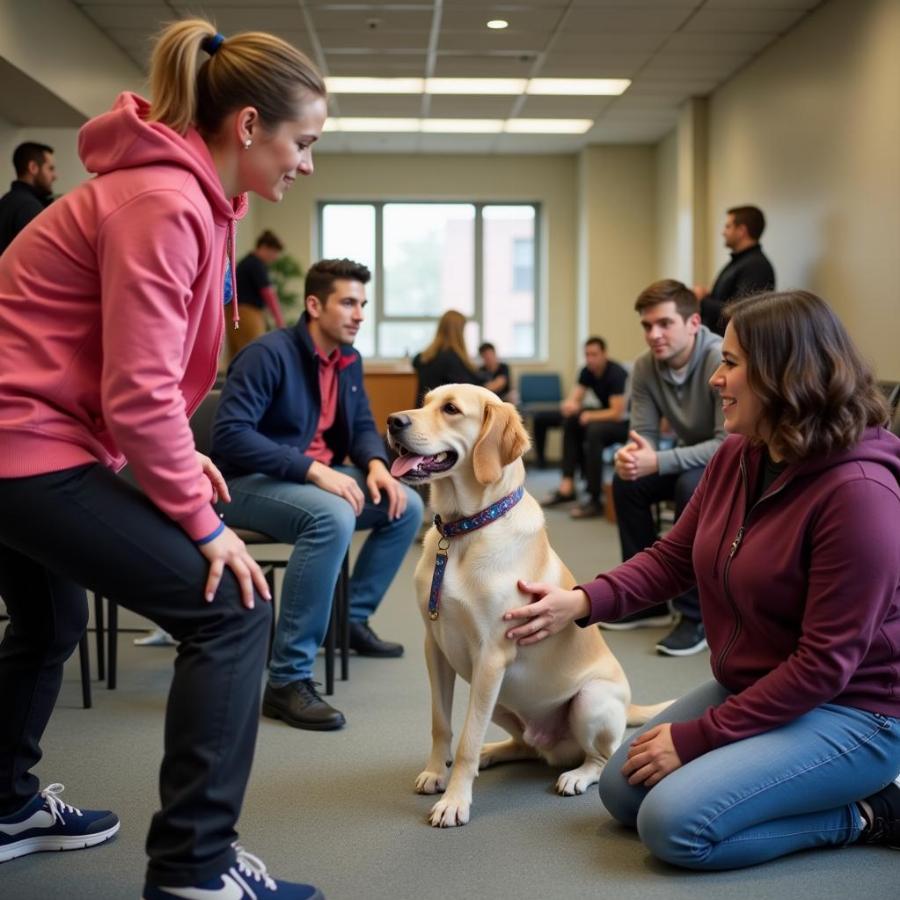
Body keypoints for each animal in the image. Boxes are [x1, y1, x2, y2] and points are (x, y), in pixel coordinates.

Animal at [384, 384, 668, 828]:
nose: (393, 421)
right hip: (500, 697)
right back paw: (496, 751)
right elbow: (442, 724)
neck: (464, 531)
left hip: (587, 701)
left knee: (599, 758)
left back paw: (576, 775)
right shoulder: (436, 648)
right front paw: (435, 773)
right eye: (424, 401)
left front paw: (455, 800)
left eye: (451, 409)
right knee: (525, 745)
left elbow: (465, 740)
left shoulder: (492, 657)